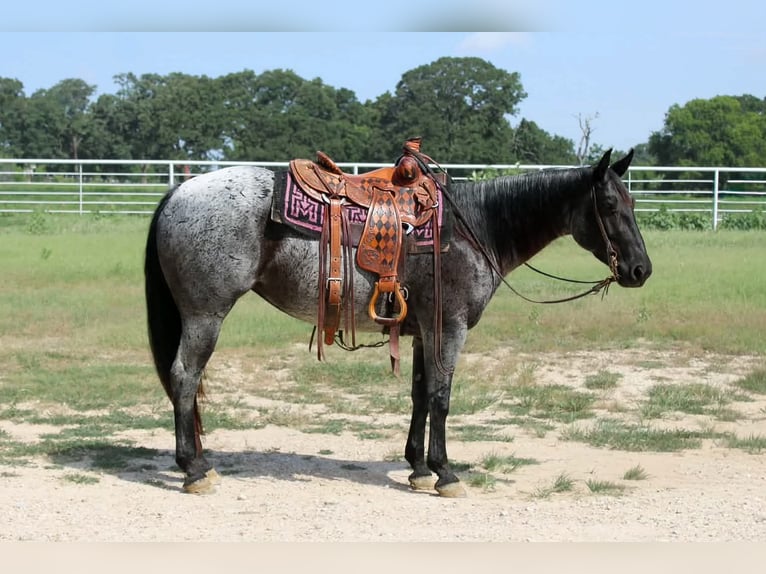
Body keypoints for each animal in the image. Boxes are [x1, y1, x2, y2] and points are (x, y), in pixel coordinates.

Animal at [144, 147, 652, 497]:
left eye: (631, 202)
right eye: (609, 206)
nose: (640, 270)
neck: (475, 229)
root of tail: (179, 190)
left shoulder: (426, 331)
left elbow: (421, 396)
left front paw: (419, 468)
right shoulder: (450, 328)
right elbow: (442, 398)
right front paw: (445, 473)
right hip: (205, 315)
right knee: (184, 377)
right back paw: (193, 469)